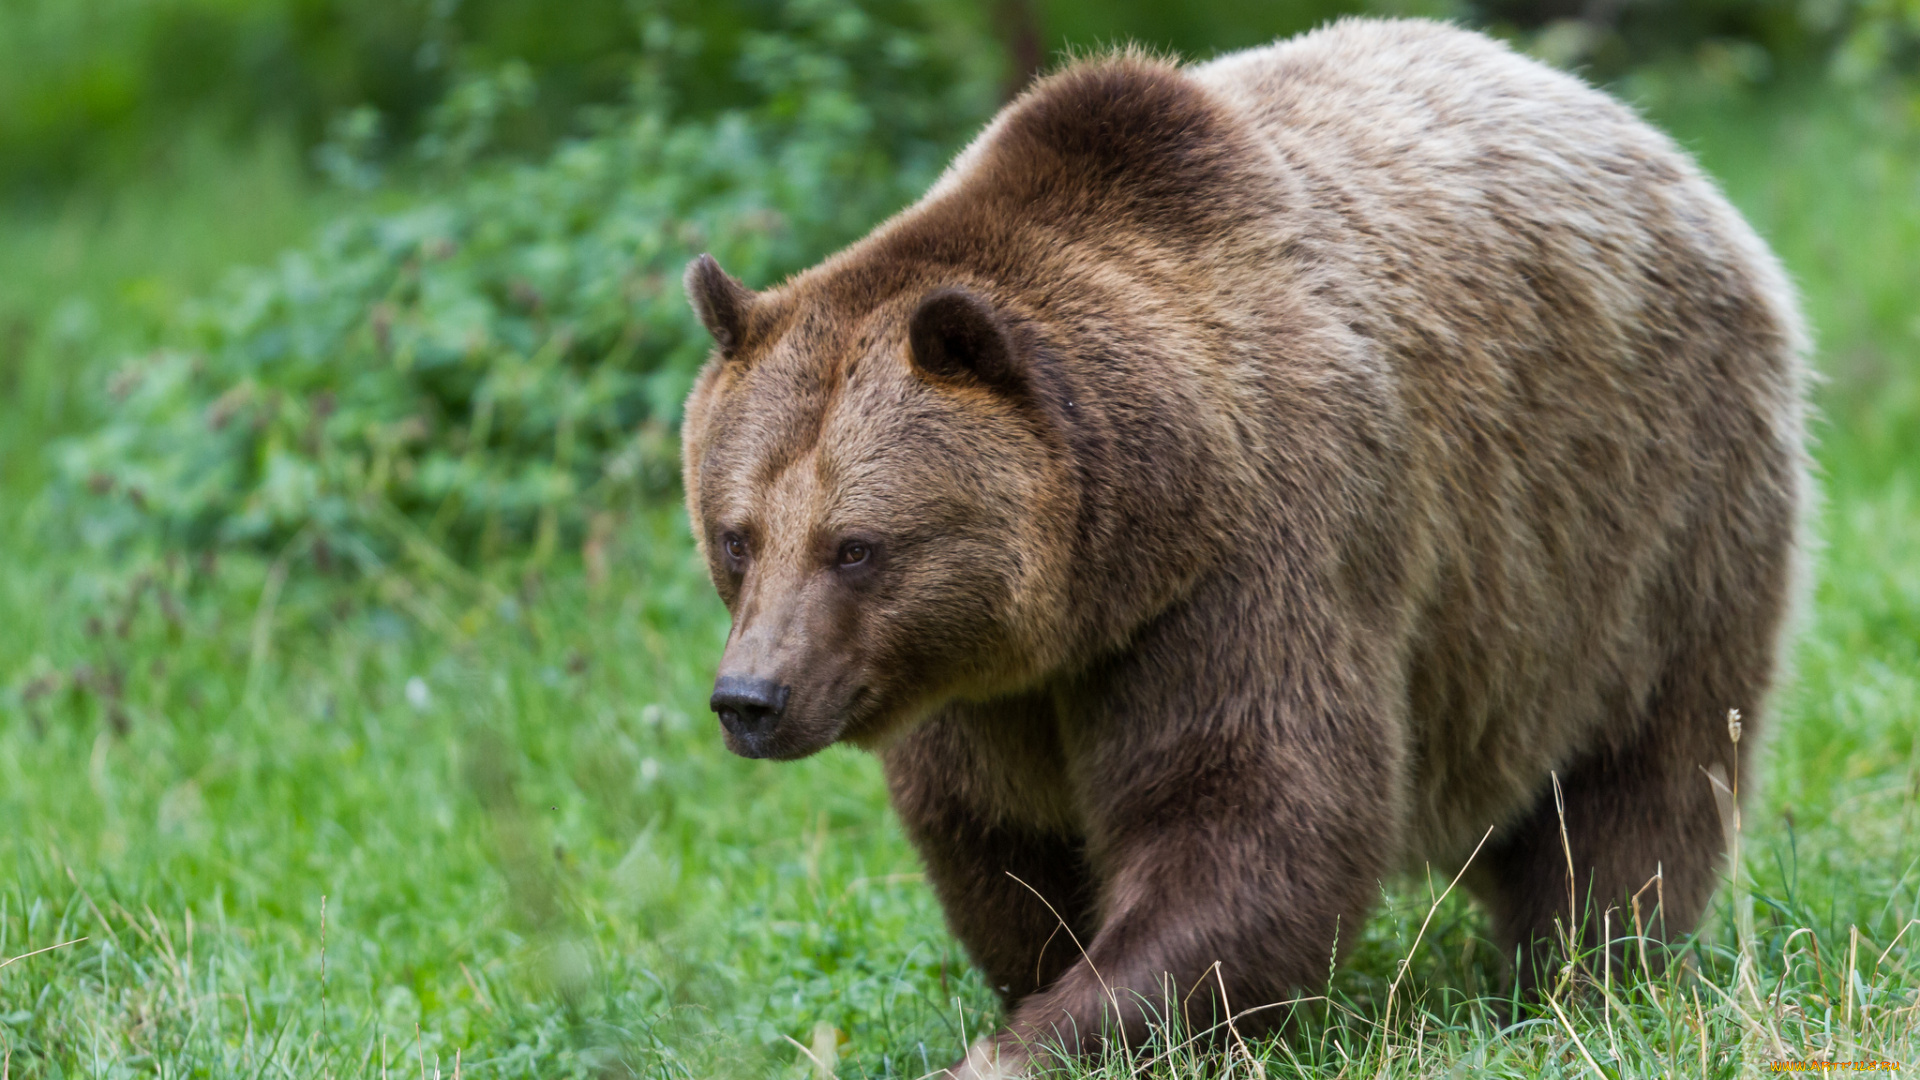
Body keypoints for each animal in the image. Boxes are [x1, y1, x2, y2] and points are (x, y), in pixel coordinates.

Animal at [679, 16, 1812, 1076]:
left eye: (855, 545)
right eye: (736, 537)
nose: (751, 698)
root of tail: (1646, 138)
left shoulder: (1257, 558)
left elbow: (1249, 815)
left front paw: (1034, 1041)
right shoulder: (977, 682)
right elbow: (1000, 841)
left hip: (1643, 517)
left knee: (1642, 775)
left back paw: (1582, 971)